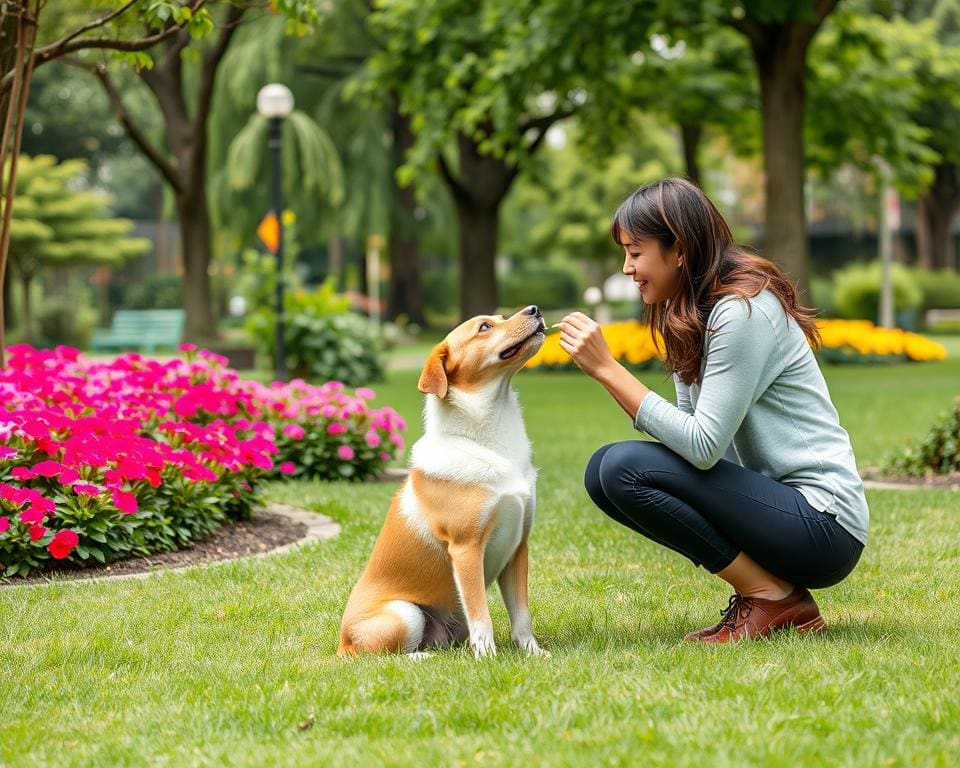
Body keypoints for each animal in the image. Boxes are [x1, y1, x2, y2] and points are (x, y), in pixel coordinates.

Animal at [338, 304, 548, 656]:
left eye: (502, 317)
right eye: (485, 327)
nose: (534, 309)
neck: (487, 441)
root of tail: (343, 642)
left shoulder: (518, 546)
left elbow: (522, 614)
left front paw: (532, 653)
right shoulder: (466, 550)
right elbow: (482, 616)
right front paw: (488, 658)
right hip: (404, 613)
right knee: (380, 656)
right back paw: (422, 658)